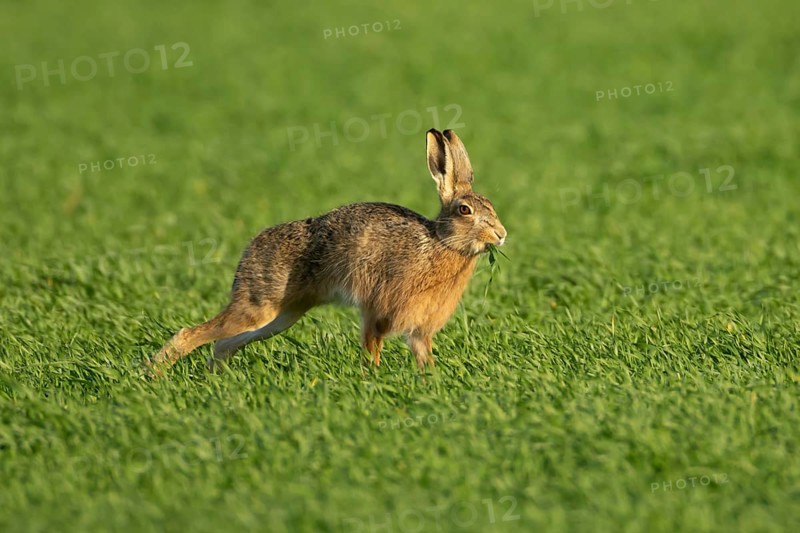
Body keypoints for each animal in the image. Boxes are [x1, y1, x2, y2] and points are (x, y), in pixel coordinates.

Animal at [149, 128, 506, 374]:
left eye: (491, 206)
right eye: (465, 210)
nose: (501, 235)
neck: (441, 243)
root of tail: (250, 249)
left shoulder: (419, 332)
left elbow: (423, 358)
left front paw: (429, 382)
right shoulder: (377, 314)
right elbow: (371, 350)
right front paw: (371, 381)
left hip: (281, 317)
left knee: (224, 343)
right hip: (258, 307)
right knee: (191, 334)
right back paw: (153, 375)